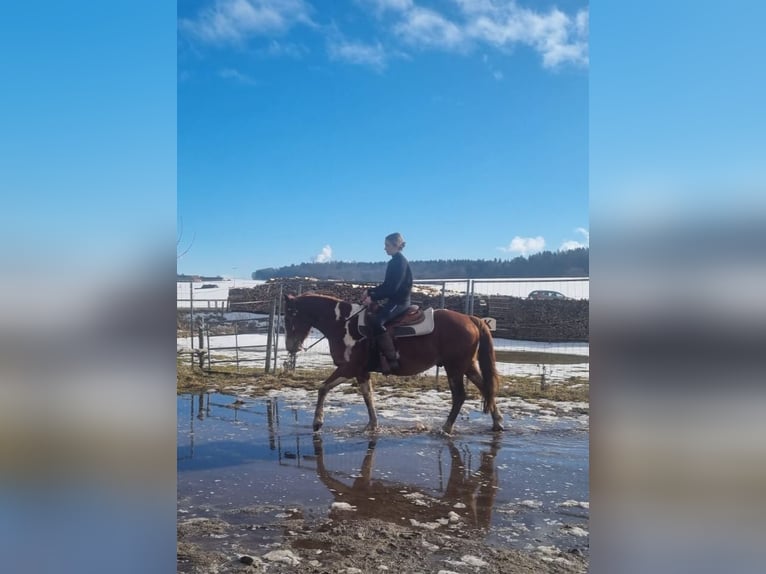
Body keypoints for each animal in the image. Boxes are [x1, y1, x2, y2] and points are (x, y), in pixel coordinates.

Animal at [282, 293, 504, 434]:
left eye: (289, 316)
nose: (290, 346)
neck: (344, 324)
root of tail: (471, 319)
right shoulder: (361, 372)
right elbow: (368, 396)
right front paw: (372, 425)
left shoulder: (348, 368)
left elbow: (323, 388)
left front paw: (317, 422)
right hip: (468, 366)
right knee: (486, 388)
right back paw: (497, 423)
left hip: (455, 368)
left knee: (459, 396)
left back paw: (446, 428)